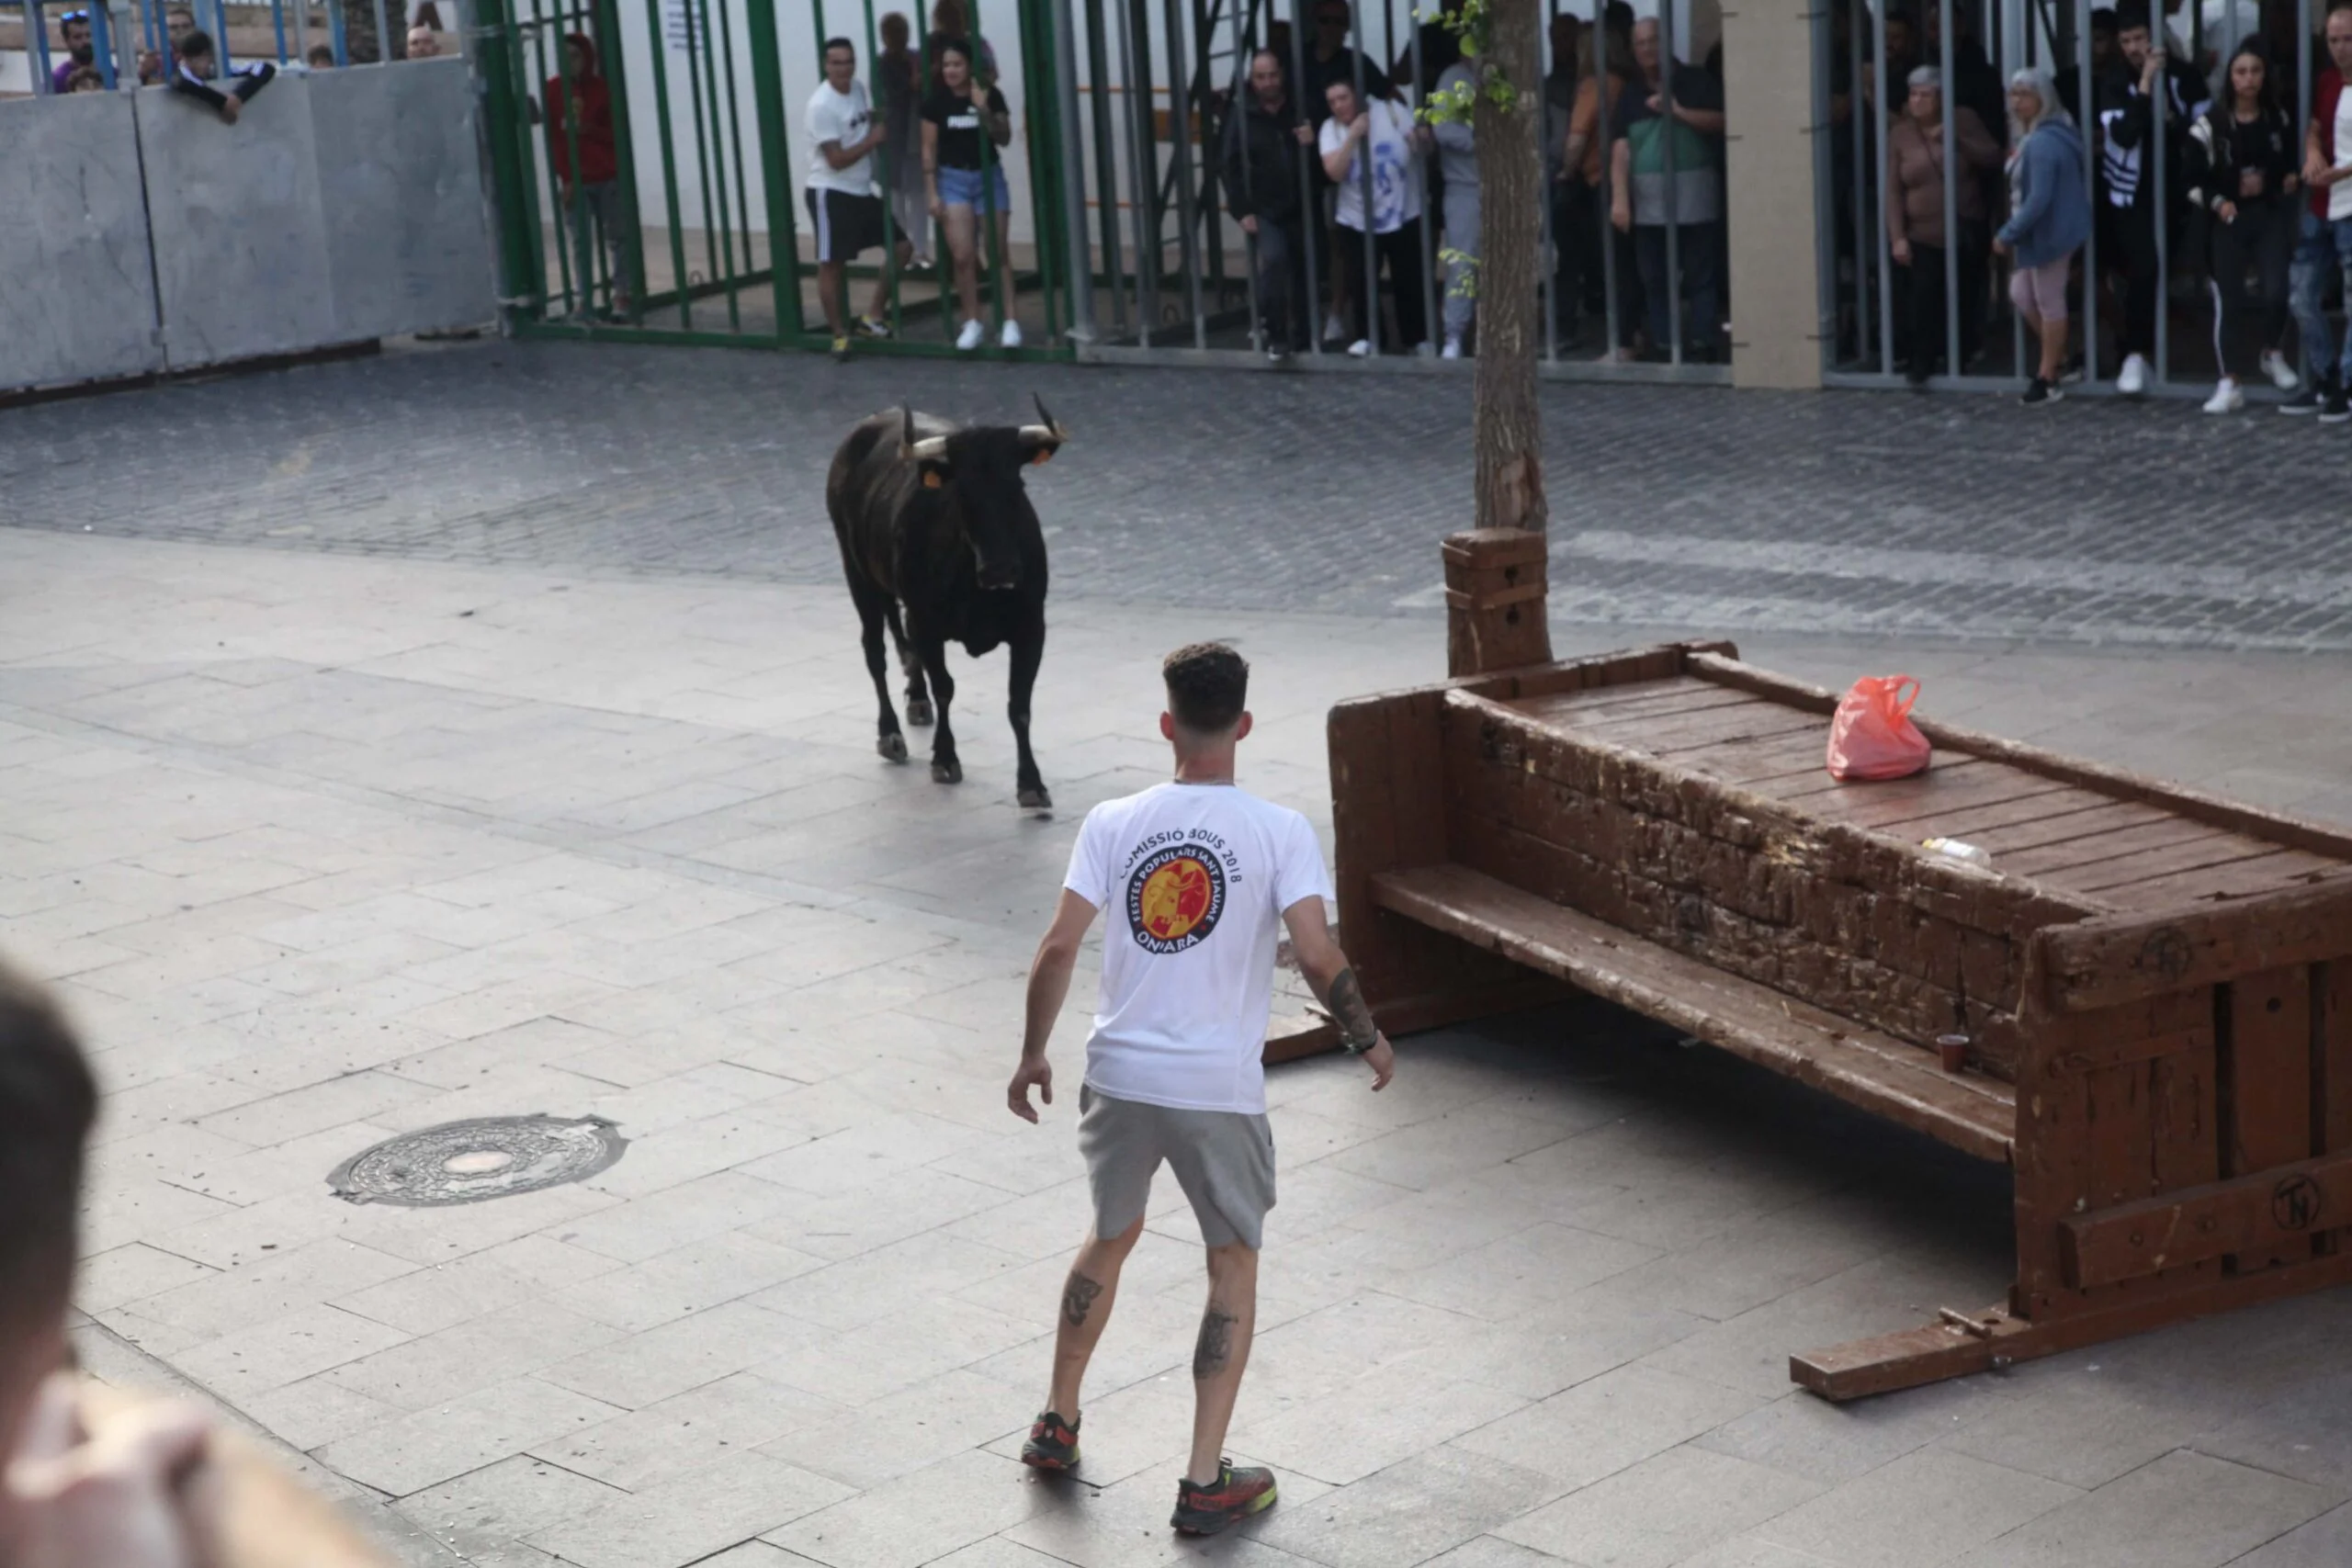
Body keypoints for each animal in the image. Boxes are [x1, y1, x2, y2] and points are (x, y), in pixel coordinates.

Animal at [818, 400, 1058, 808]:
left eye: (1018, 485)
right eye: (961, 493)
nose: (1001, 569)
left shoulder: (1031, 628)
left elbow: (1020, 706)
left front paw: (1031, 783)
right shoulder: (927, 623)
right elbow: (945, 687)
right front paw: (945, 759)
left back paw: (916, 699)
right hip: (858, 574)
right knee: (875, 652)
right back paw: (890, 734)